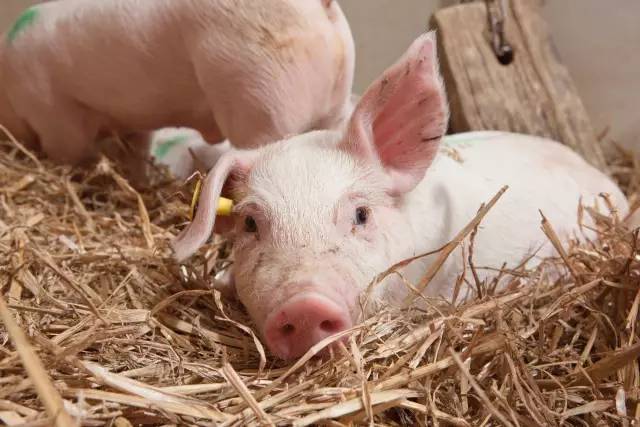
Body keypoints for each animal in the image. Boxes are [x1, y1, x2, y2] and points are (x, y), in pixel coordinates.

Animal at [0, 0, 356, 186]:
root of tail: (317, 7)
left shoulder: (52, 113)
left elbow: (70, 152)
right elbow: (137, 152)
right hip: (334, 106)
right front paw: (139, 183)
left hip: (265, 101)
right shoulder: (133, 123)